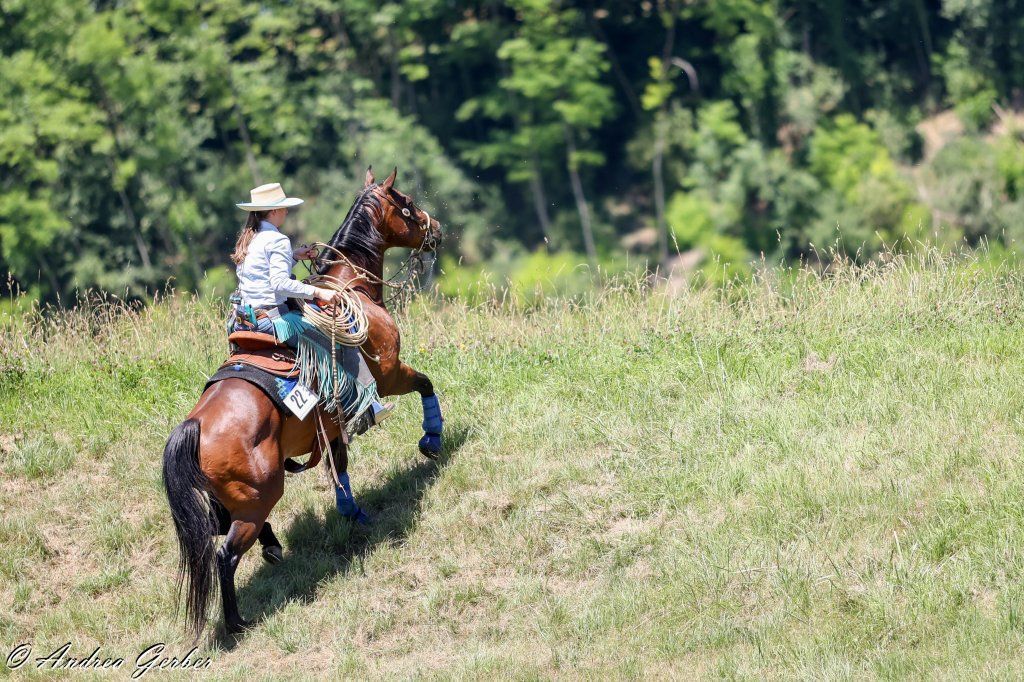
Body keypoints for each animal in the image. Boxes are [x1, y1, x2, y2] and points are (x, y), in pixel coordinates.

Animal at [161, 167, 444, 636]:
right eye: (405, 203)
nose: (435, 228)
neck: (349, 288)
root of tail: (194, 427)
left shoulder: (330, 424)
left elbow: (339, 464)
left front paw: (351, 511)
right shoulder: (388, 375)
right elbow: (425, 385)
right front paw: (432, 441)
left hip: (234, 497)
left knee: (223, 527)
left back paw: (273, 548)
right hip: (260, 493)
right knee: (225, 554)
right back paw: (237, 621)